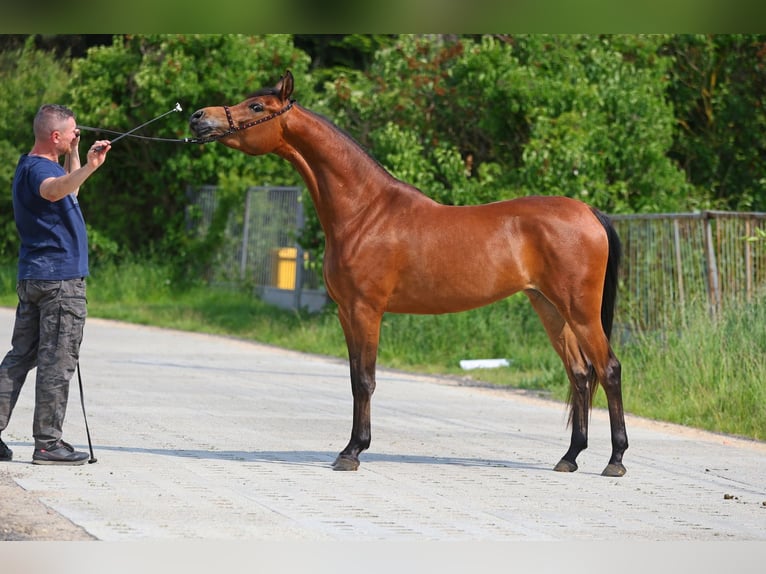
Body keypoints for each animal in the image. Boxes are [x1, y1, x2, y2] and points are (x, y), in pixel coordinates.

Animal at [189, 70, 628, 477]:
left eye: (256, 106)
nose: (198, 118)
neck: (366, 211)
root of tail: (589, 212)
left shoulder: (367, 310)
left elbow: (365, 380)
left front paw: (352, 452)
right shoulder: (346, 312)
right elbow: (354, 378)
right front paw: (350, 447)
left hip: (580, 311)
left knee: (608, 370)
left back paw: (616, 460)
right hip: (550, 308)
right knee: (579, 374)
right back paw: (570, 457)